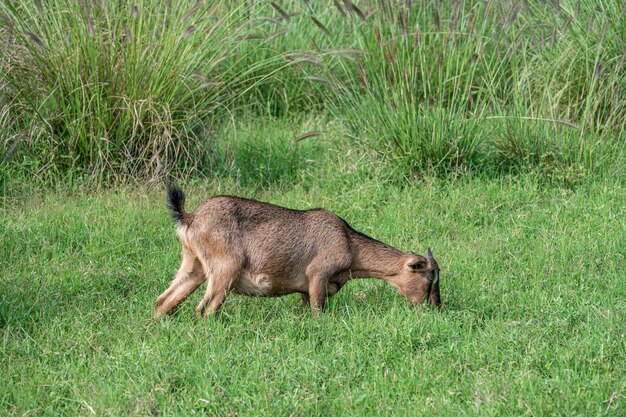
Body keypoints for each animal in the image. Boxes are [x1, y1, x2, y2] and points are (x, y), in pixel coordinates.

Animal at [154, 184, 438, 316]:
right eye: (428, 280)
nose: (435, 307)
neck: (349, 244)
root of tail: (190, 217)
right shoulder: (317, 275)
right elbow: (318, 312)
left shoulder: (305, 290)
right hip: (226, 269)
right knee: (204, 309)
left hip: (194, 266)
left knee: (163, 301)